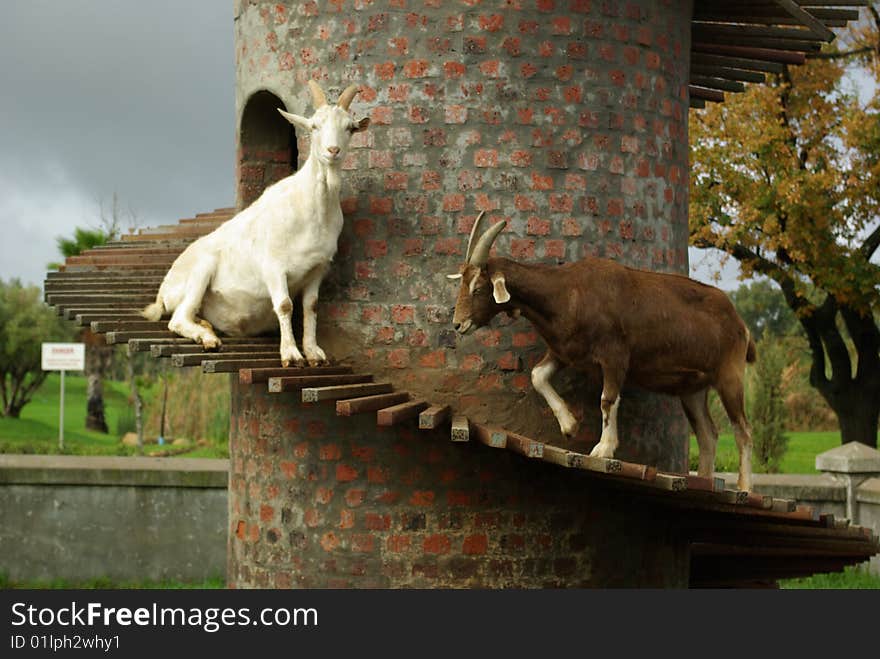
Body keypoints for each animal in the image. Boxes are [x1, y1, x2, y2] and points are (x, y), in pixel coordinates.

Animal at [142, 81, 368, 366]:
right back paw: (207, 338)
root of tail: (163, 291)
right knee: (178, 318)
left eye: (350, 128)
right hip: (200, 269)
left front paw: (313, 352)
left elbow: (310, 307)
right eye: (314, 126)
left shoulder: (318, 269)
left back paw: (205, 326)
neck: (310, 209)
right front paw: (291, 354)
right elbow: (285, 305)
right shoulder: (273, 266)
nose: (333, 151)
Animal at [450, 214, 760, 492]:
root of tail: (740, 324)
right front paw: (569, 426)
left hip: (729, 374)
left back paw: (745, 486)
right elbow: (538, 376)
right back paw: (705, 479)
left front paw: (603, 449)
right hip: (693, 387)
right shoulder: (564, 352)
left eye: (478, 288)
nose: (458, 324)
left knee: (743, 430)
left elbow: (607, 400)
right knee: (708, 434)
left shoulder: (614, 356)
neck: (567, 293)